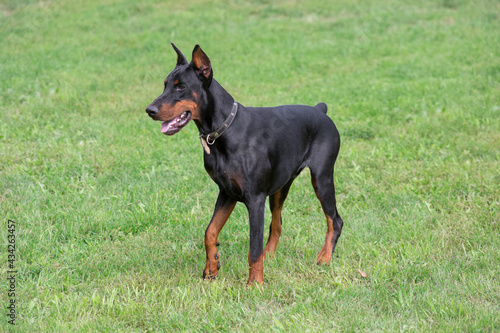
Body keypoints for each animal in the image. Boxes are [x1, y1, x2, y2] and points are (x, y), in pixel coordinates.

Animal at [146, 42, 344, 284]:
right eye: (165, 85)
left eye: (181, 86)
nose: (149, 110)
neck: (224, 130)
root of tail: (319, 109)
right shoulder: (227, 192)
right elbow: (210, 232)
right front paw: (212, 267)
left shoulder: (255, 199)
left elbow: (254, 247)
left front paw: (255, 283)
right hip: (281, 186)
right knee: (277, 223)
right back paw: (271, 256)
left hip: (322, 178)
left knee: (334, 220)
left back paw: (324, 258)